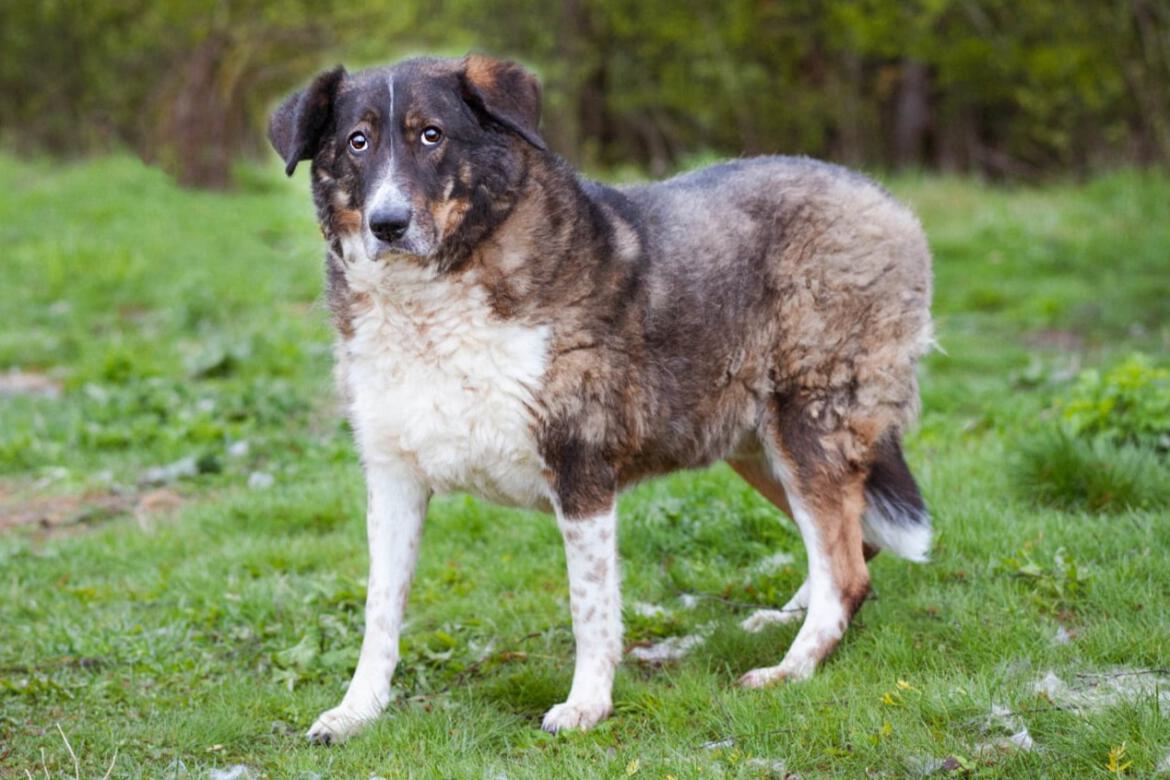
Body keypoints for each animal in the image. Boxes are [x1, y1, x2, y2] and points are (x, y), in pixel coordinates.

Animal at [268, 53, 933, 744]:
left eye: (432, 135)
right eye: (358, 141)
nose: (387, 224)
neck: (438, 293)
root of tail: (884, 201)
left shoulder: (580, 468)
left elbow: (588, 607)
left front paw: (587, 704)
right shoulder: (393, 479)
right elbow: (379, 614)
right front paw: (357, 711)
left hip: (809, 427)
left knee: (847, 572)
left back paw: (790, 669)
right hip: (758, 446)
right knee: (853, 548)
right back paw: (783, 621)